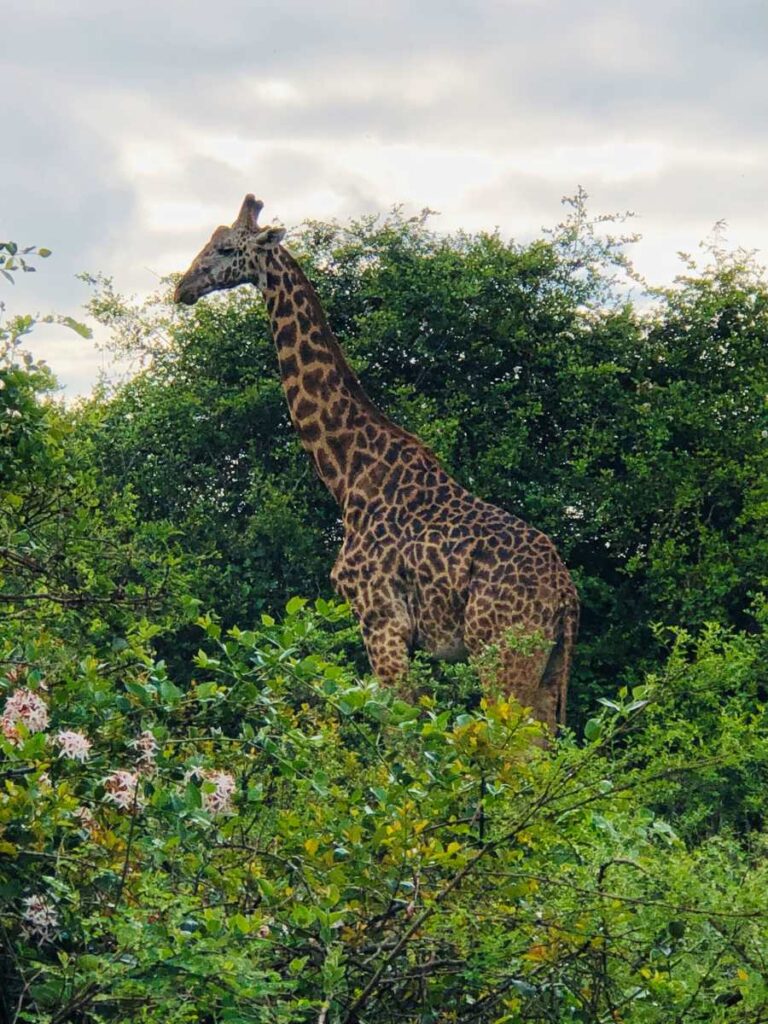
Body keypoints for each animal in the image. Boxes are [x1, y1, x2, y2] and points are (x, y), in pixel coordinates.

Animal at [174, 195, 579, 731]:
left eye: (224, 249)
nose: (182, 288)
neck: (348, 474)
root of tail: (567, 596)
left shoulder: (381, 618)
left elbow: (398, 731)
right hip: (549, 666)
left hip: (499, 654)